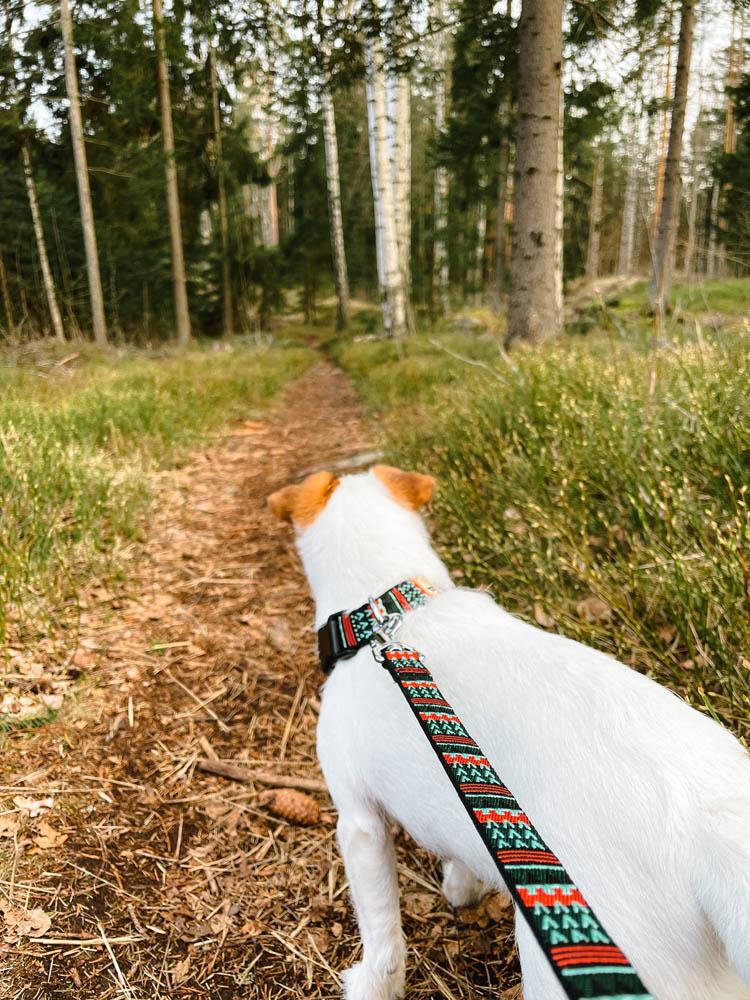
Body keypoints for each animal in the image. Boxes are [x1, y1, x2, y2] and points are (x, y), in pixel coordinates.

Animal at [268, 464, 750, 1000]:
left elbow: (382, 935)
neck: (385, 608)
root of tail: (709, 826)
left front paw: (372, 984)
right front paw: (462, 887)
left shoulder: (359, 821)